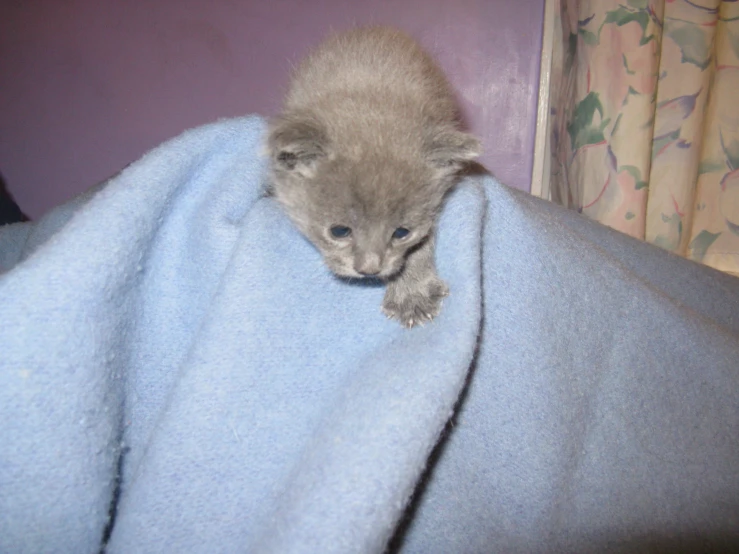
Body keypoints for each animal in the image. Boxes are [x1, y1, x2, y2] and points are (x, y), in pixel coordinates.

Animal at [268, 25, 482, 326]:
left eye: (402, 232)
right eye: (339, 231)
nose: (369, 269)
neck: (373, 97)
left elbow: (422, 245)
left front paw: (411, 294)